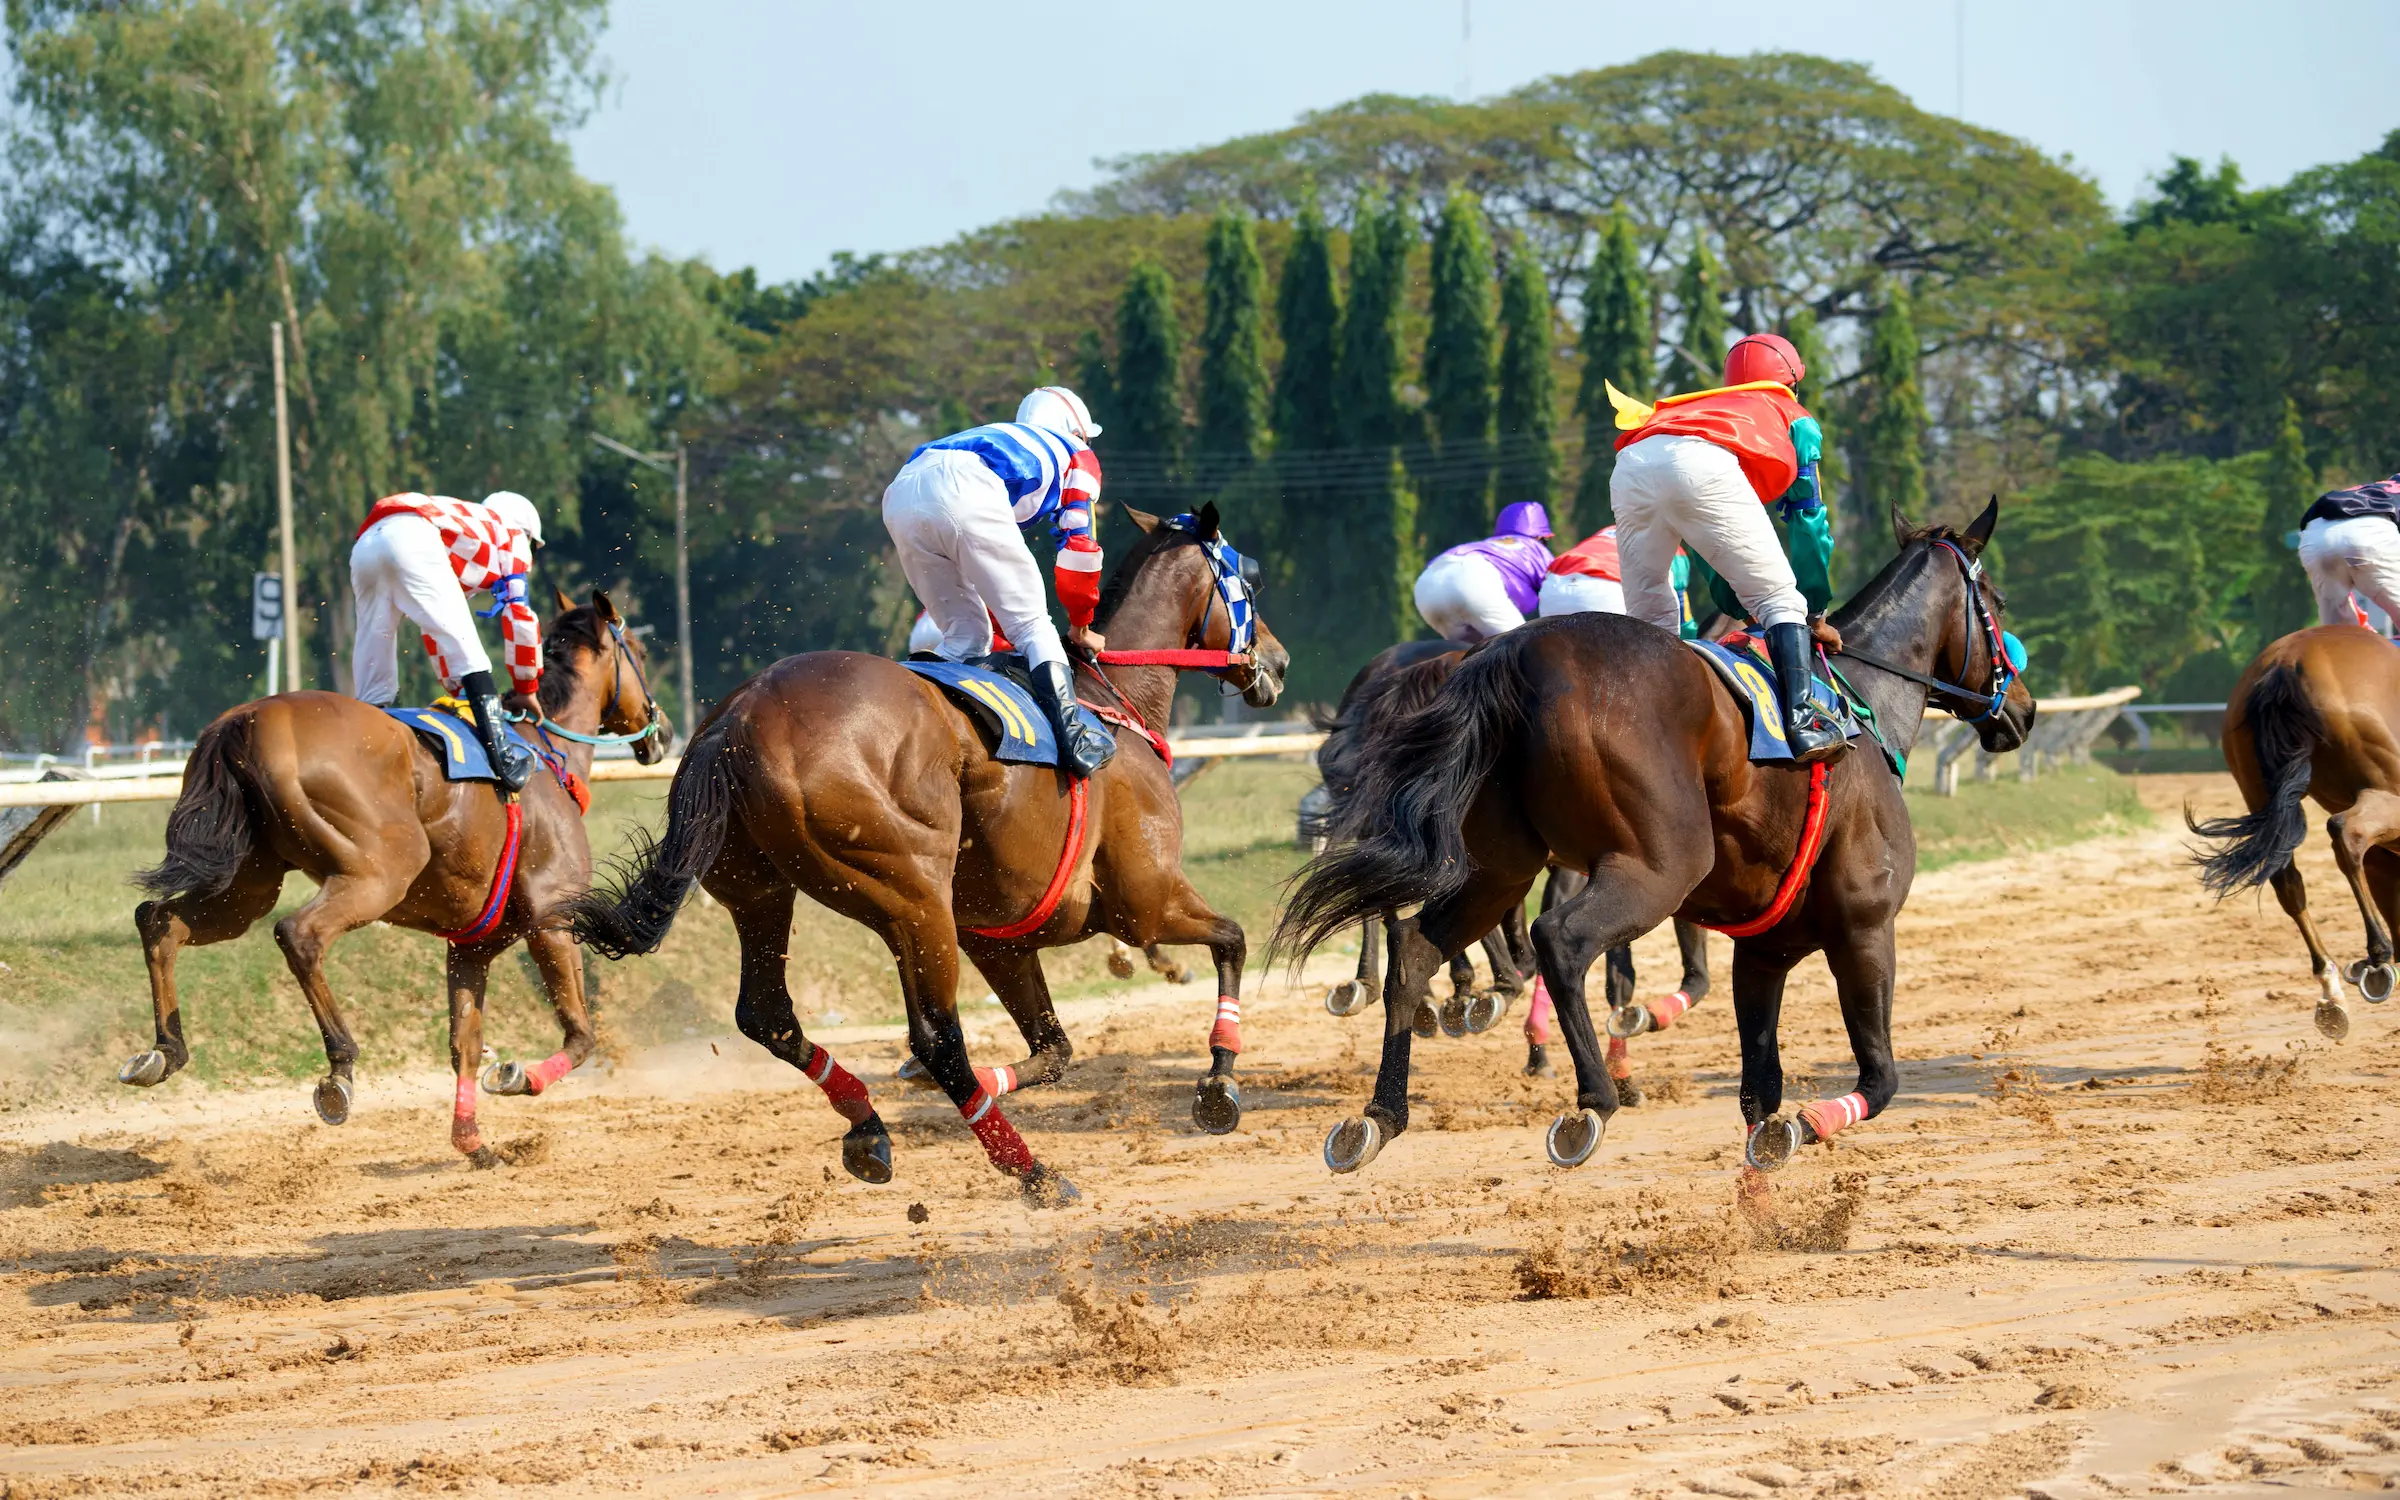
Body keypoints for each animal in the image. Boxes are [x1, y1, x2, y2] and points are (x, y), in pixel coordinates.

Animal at [127, 590, 670, 1165]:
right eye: (637, 650)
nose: (662, 731)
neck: (542, 749)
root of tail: (248, 719)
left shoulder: (471, 946)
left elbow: (465, 1045)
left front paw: (472, 1141)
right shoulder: (551, 921)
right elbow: (581, 1035)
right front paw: (517, 1076)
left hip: (248, 886)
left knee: (161, 921)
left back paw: (165, 1050)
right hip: (382, 871)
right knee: (298, 934)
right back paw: (340, 1068)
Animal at [565, 503, 1290, 1205]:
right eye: (1247, 582)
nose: (1278, 663)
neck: (1109, 702)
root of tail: (740, 717)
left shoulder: (1001, 940)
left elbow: (1055, 1049)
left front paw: (978, 1086)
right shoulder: (1145, 903)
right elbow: (1232, 941)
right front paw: (1219, 1084)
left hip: (761, 890)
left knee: (768, 1015)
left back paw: (868, 1126)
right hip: (912, 895)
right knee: (938, 1036)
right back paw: (1033, 1173)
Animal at [2188, 624, 2400, 1041]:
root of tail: (2288, 660)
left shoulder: (2387, 862)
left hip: (2259, 790)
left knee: (2287, 879)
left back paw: (2331, 993)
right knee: (2346, 832)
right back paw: (2376, 957)